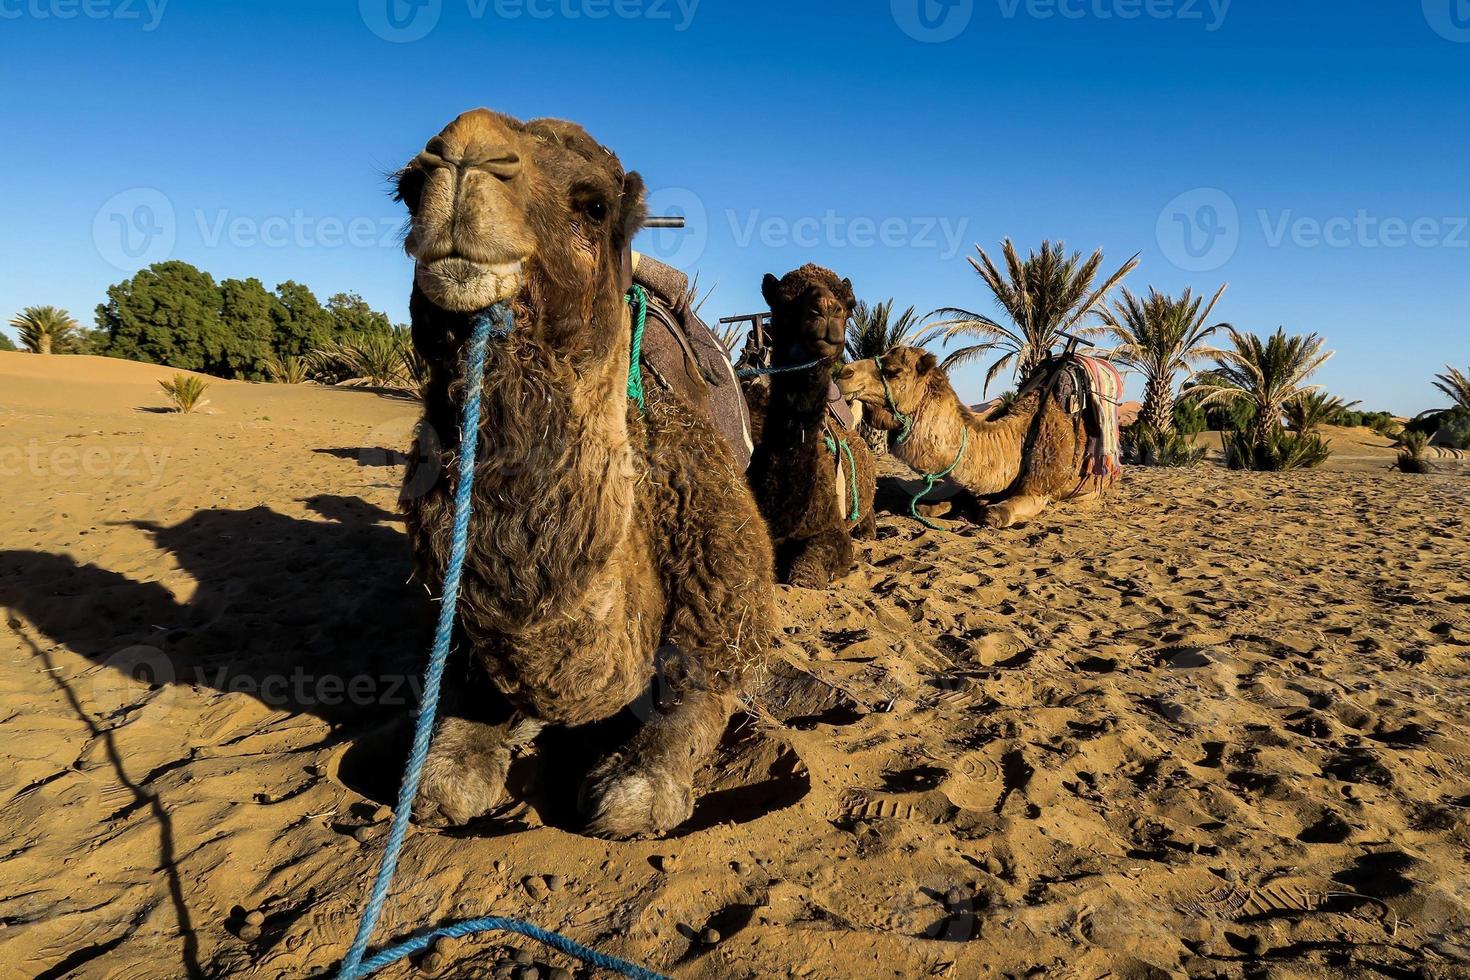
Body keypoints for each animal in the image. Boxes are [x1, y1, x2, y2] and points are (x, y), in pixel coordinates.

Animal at [391, 109, 782, 846]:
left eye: (594, 206)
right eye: (405, 192)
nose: (464, 154)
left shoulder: (724, 620)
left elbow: (651, 768)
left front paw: (641, 779)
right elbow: (446, 773)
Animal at [834, 345, 1117, 528]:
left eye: (893, 371)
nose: (843, 373)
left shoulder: (1041, 487)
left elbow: (994, 514)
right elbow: (940, 501)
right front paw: (934, 505)